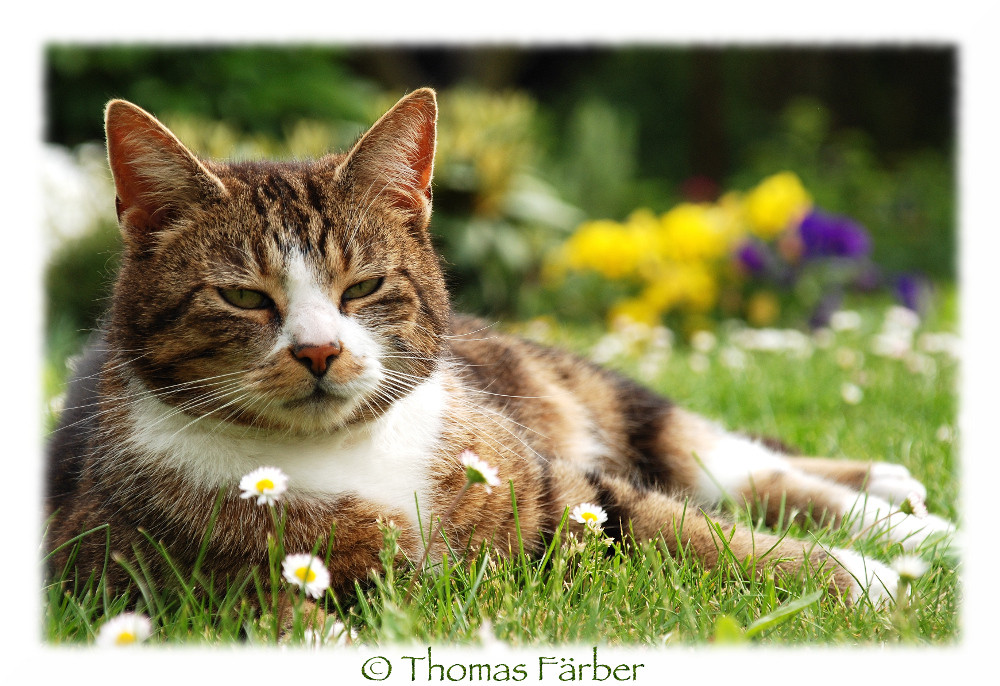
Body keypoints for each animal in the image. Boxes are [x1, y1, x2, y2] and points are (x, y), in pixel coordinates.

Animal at [45, 88, 952, 612]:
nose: (319, 352)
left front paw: (870, 576)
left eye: (364, 286)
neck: (349, 452)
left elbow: (702, 533)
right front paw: (873, 575)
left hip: (586, 399)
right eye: (242, 297)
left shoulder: (562, 490)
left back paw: (912, 518)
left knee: (732, 467)